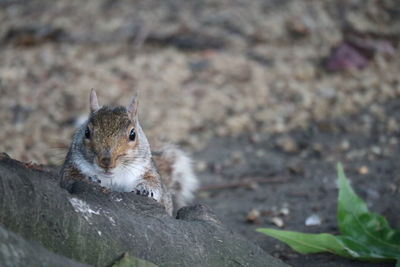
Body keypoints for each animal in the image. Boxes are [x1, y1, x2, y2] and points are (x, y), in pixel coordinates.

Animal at [61, 90, 198, 216]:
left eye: (133, 134)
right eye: (87, 132)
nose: (107, 162)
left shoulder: (148, 171)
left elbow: (155, 184)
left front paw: (144, 190)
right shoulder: (70, 166)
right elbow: (68, 179)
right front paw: (88, 178)